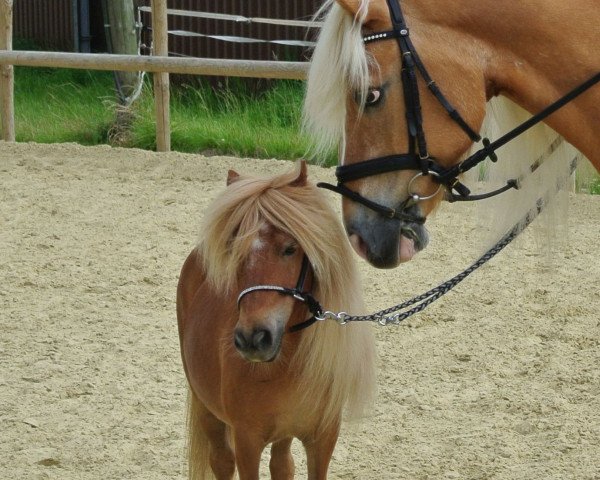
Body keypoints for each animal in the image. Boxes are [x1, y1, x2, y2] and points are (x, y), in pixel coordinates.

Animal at [176, 162, 376, 480]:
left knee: (282, 464)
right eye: (233, 251)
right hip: (206, 408)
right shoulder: (247, 442)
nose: (253, 339)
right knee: (221, 461)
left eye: (290, 248)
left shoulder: (323, 439)